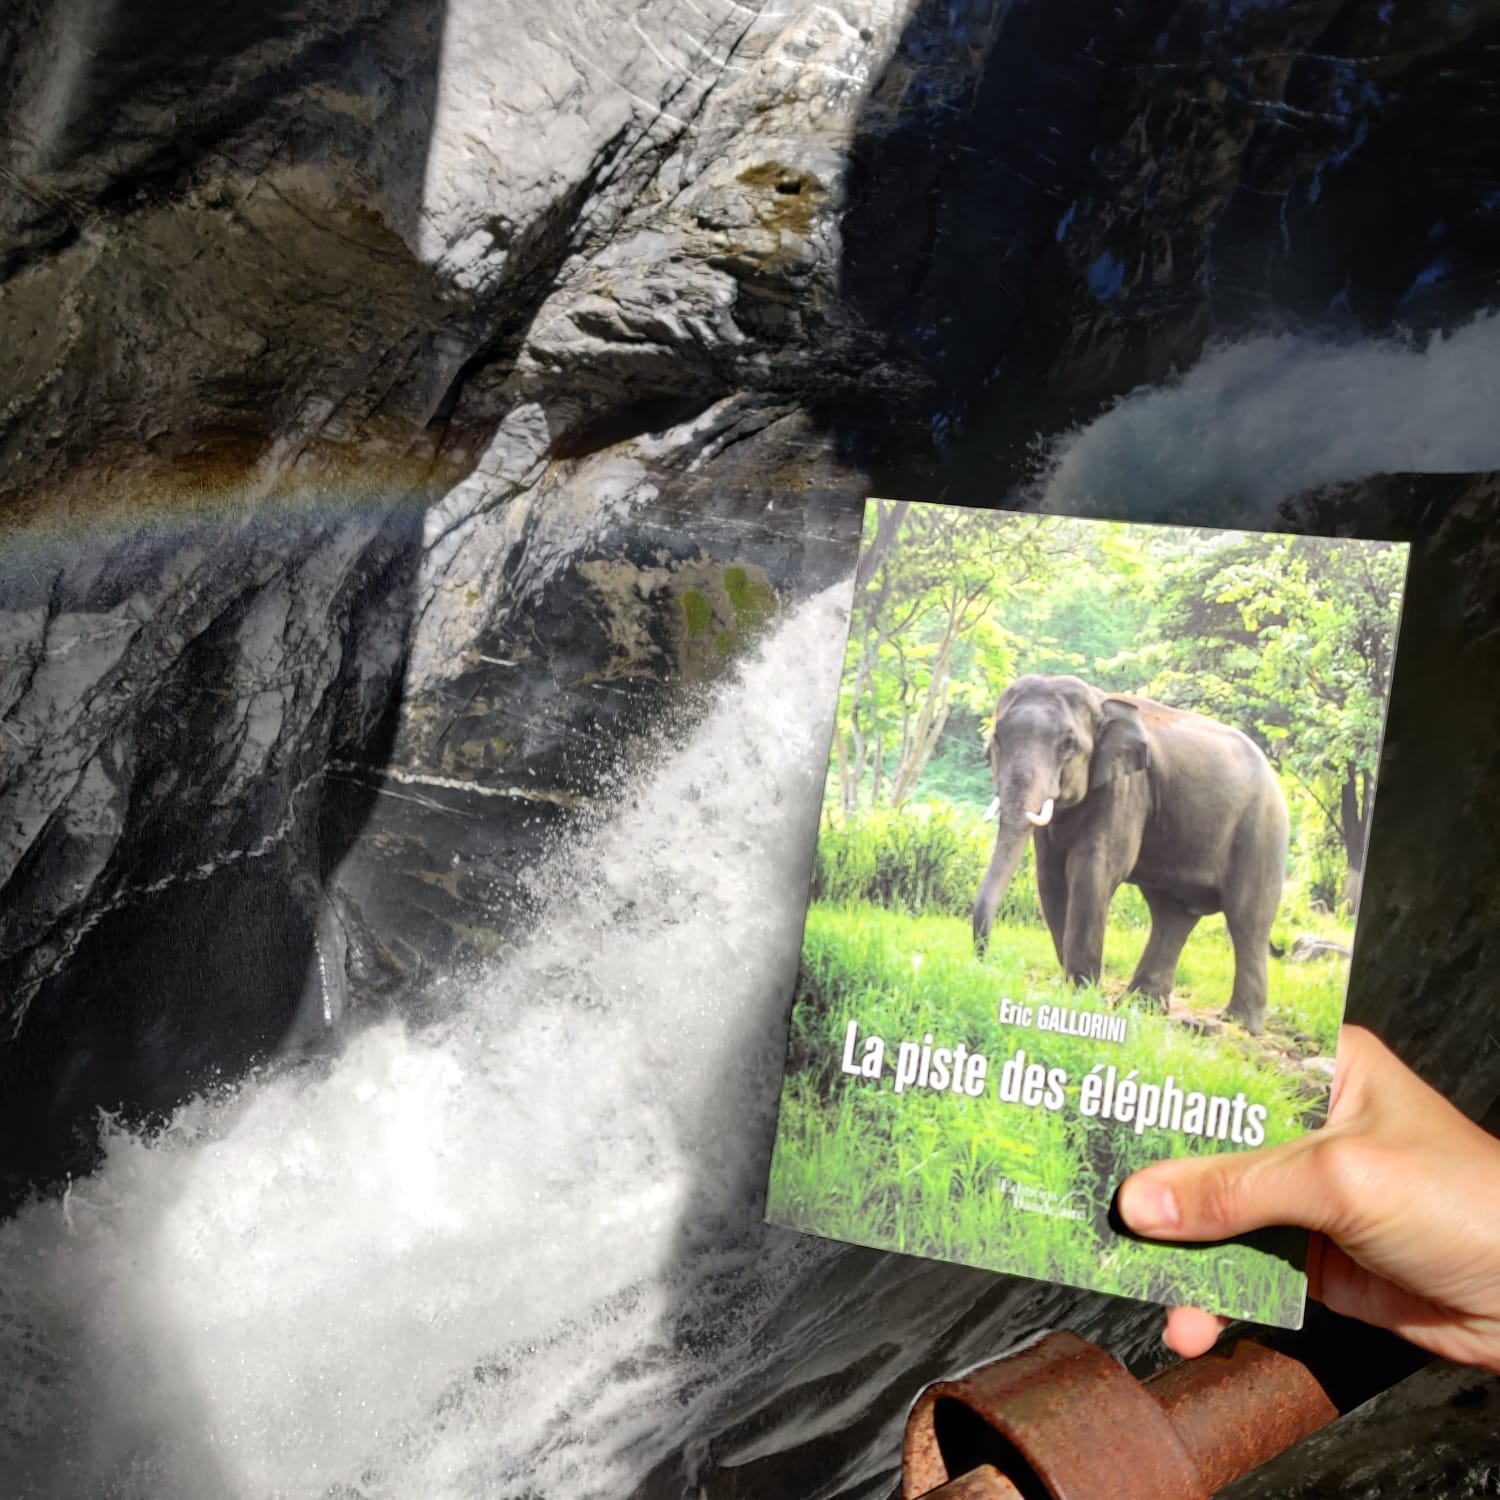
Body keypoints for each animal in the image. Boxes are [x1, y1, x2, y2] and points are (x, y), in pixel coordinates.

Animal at [972, 678, 1290, 1032]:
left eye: (1069, 744)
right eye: (996, 738)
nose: (985, 959)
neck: (1098, 700)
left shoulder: (1127, 789)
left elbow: (1092, 871)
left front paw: (1081, 996)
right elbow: (1050, 880)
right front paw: (1075, 990)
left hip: (1262, 832)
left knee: (1247, 919)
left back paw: (1238, 1023)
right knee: (1172, 915)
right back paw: (1141, 1005)